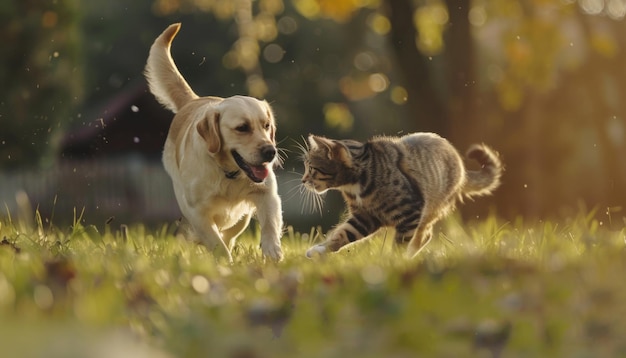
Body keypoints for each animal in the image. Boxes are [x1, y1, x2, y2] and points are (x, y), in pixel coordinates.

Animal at [143, 23, 282, 262]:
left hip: (244, 211)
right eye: (242, 128)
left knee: (235, 227)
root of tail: (193, 101)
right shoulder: (196, 212)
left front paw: (272, 250)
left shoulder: (267, 193)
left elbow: (269, 224)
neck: (228, 173)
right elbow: (216, 242)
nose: (270, 152)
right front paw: (225, 262)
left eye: (266, 126)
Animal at [298, 133, 502, 258]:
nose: (303, 180)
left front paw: (393, 262)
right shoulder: (364, 218)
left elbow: (400, 242)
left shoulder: (411, 211)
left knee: (425, 235)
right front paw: (320, 250)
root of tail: (462, 168)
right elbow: (343, 234)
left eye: (311, 168)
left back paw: (409, 255)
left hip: (431, 208)